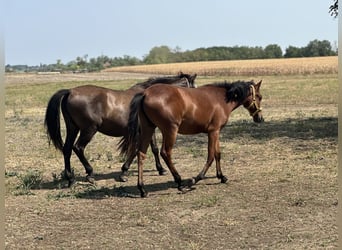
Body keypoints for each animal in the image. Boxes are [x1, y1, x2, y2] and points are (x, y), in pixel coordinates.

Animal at [44, 71, 196, 187]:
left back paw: (70, 179)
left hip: (73, 128)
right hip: (89, 129)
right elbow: (135, 150)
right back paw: (90, 174)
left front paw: (161, 169)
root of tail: (69, 92)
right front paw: (123, 173)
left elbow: (153, 149)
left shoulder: (148, 129)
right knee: (78, 148)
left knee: (67, 149)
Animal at [121, 80, 264, 197]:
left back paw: (142, 189)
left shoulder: (216, 132)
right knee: (165, 153)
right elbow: (210, 156)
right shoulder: (213, 132)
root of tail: (145, 93)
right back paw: (180, 183)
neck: (221, 99)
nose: (260, 119)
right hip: (170, 130)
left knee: (141, 153)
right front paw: (195, 179)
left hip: (149, 128)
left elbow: (217, 154)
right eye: (259, 97)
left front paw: (222, 176)